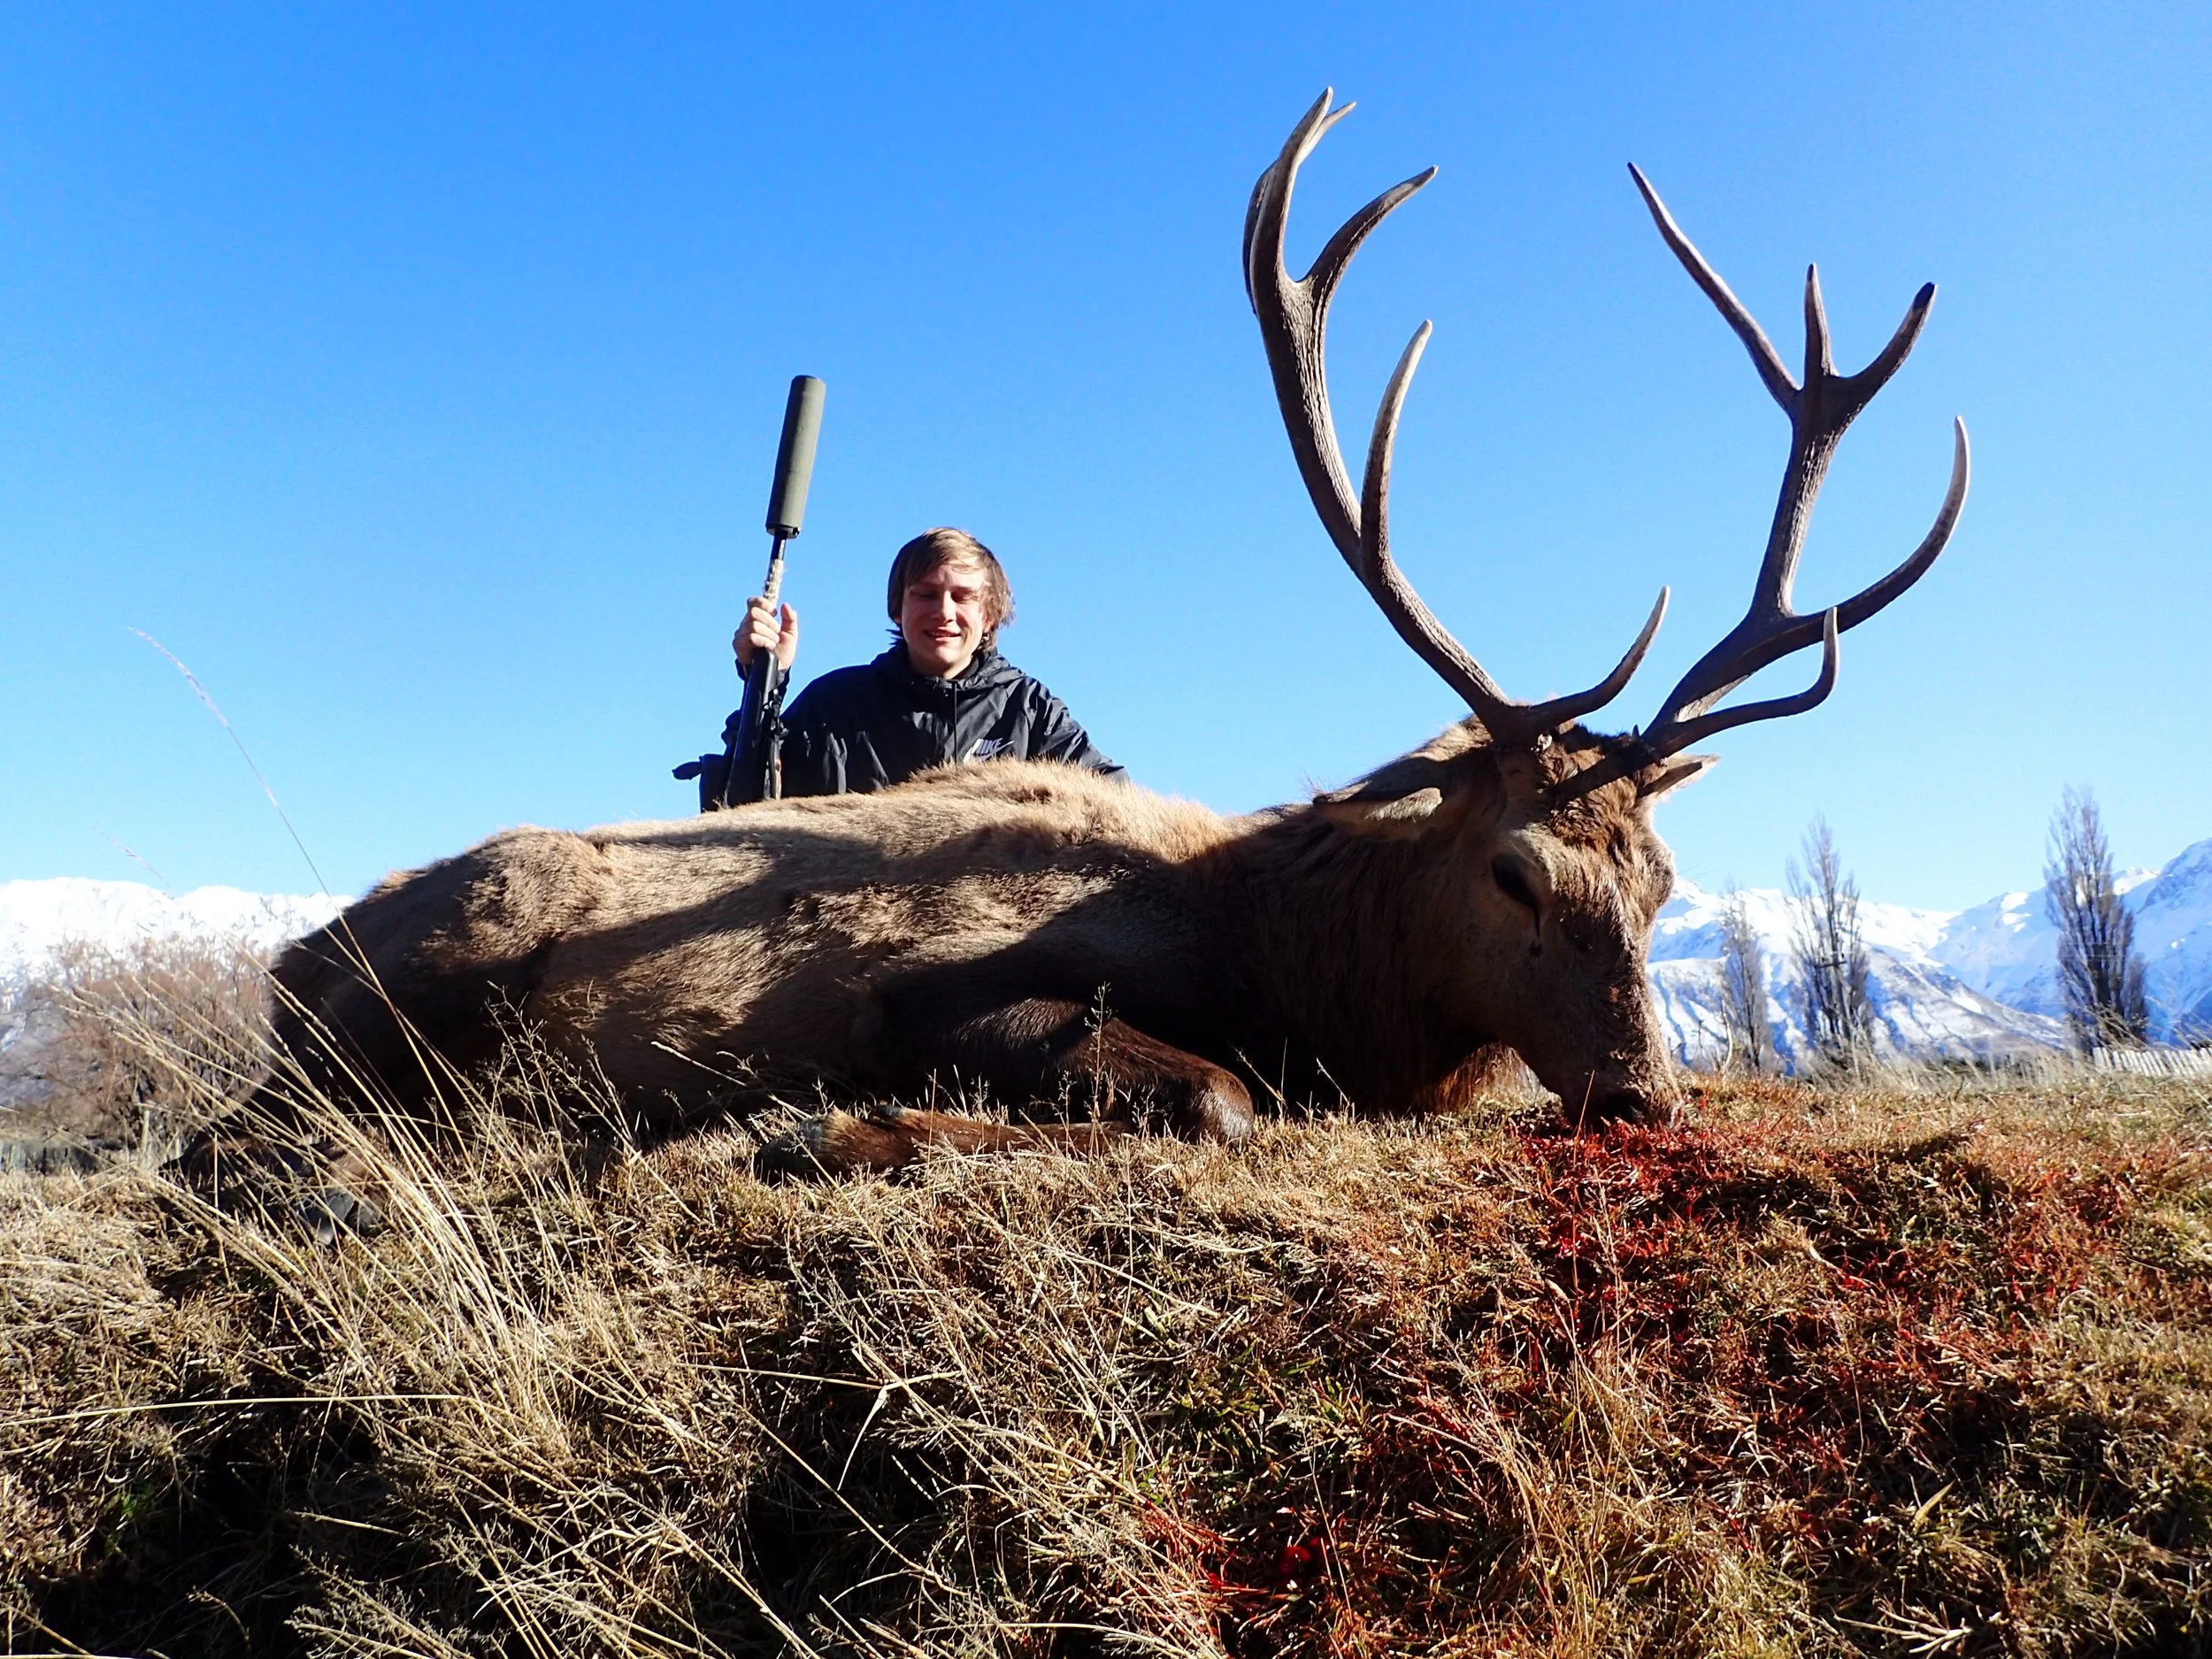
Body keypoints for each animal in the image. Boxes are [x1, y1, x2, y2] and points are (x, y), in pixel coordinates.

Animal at [215, 91, 1966, 1183]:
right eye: (1514, 870)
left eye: (1663, 884)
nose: (1644, 1095)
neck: (1292, 964)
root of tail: (286, 964)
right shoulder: (944, 991)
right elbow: (1222, 1105)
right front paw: (823, 1133)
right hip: (398, 1014)